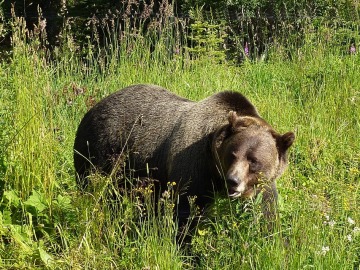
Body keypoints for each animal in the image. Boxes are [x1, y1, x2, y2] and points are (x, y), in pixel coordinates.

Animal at [74, 84, 296, 219]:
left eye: (254, 161)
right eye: (232, 154)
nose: (232, 181)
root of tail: (94, 107)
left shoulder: (264, 183)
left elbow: (267, 209)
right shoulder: (194, 165)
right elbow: (186, 209)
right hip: (100, 151)